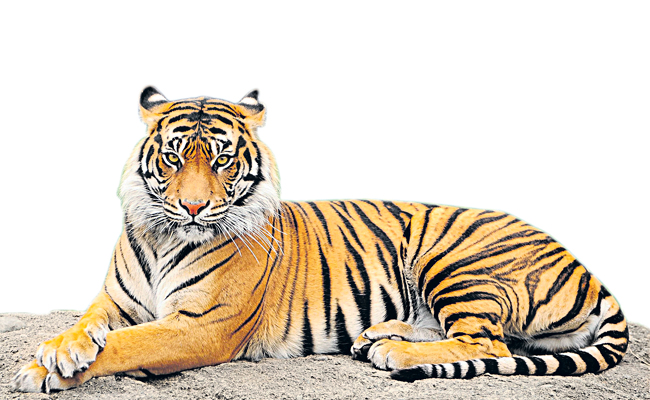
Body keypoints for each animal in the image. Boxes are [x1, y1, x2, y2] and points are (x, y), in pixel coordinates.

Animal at [12, 87, 628, 393]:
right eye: (173, 157)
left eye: (222, 160)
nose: (192, 206)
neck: (165, 236)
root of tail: (589, 269)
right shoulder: (113, 302)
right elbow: (87, 326)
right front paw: (59, 349)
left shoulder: (200, 327)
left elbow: (128, 345)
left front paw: (45, 370)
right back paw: (377, 336)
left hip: (457, 261)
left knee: (490, 345)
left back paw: (392, 351)